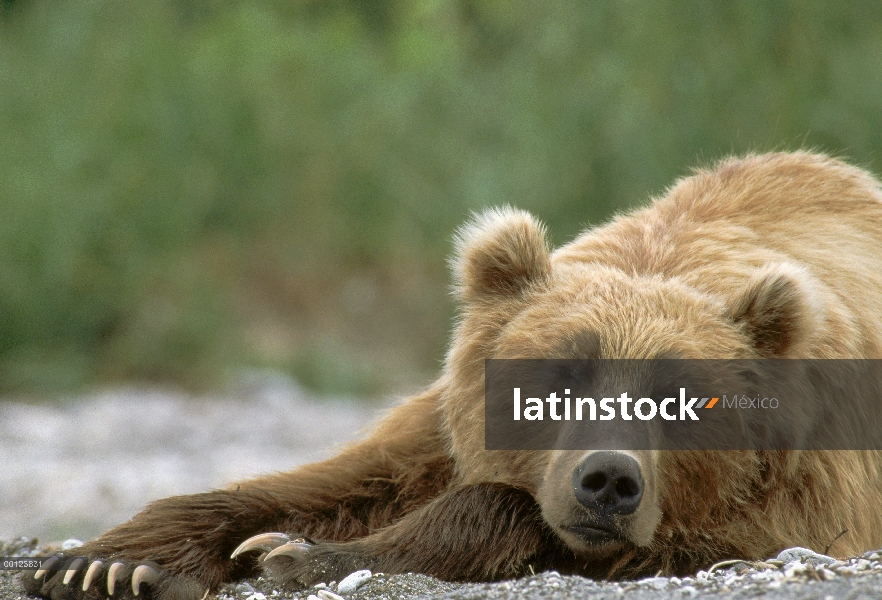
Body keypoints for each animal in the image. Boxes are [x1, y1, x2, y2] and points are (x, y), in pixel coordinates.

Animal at [20, 151, 880, 600]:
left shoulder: (795, 502)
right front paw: (109, 562)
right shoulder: (438, 428)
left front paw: (299, 556)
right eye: (557, 373)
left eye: (683, 398)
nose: (608, 481)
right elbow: (335, 481)